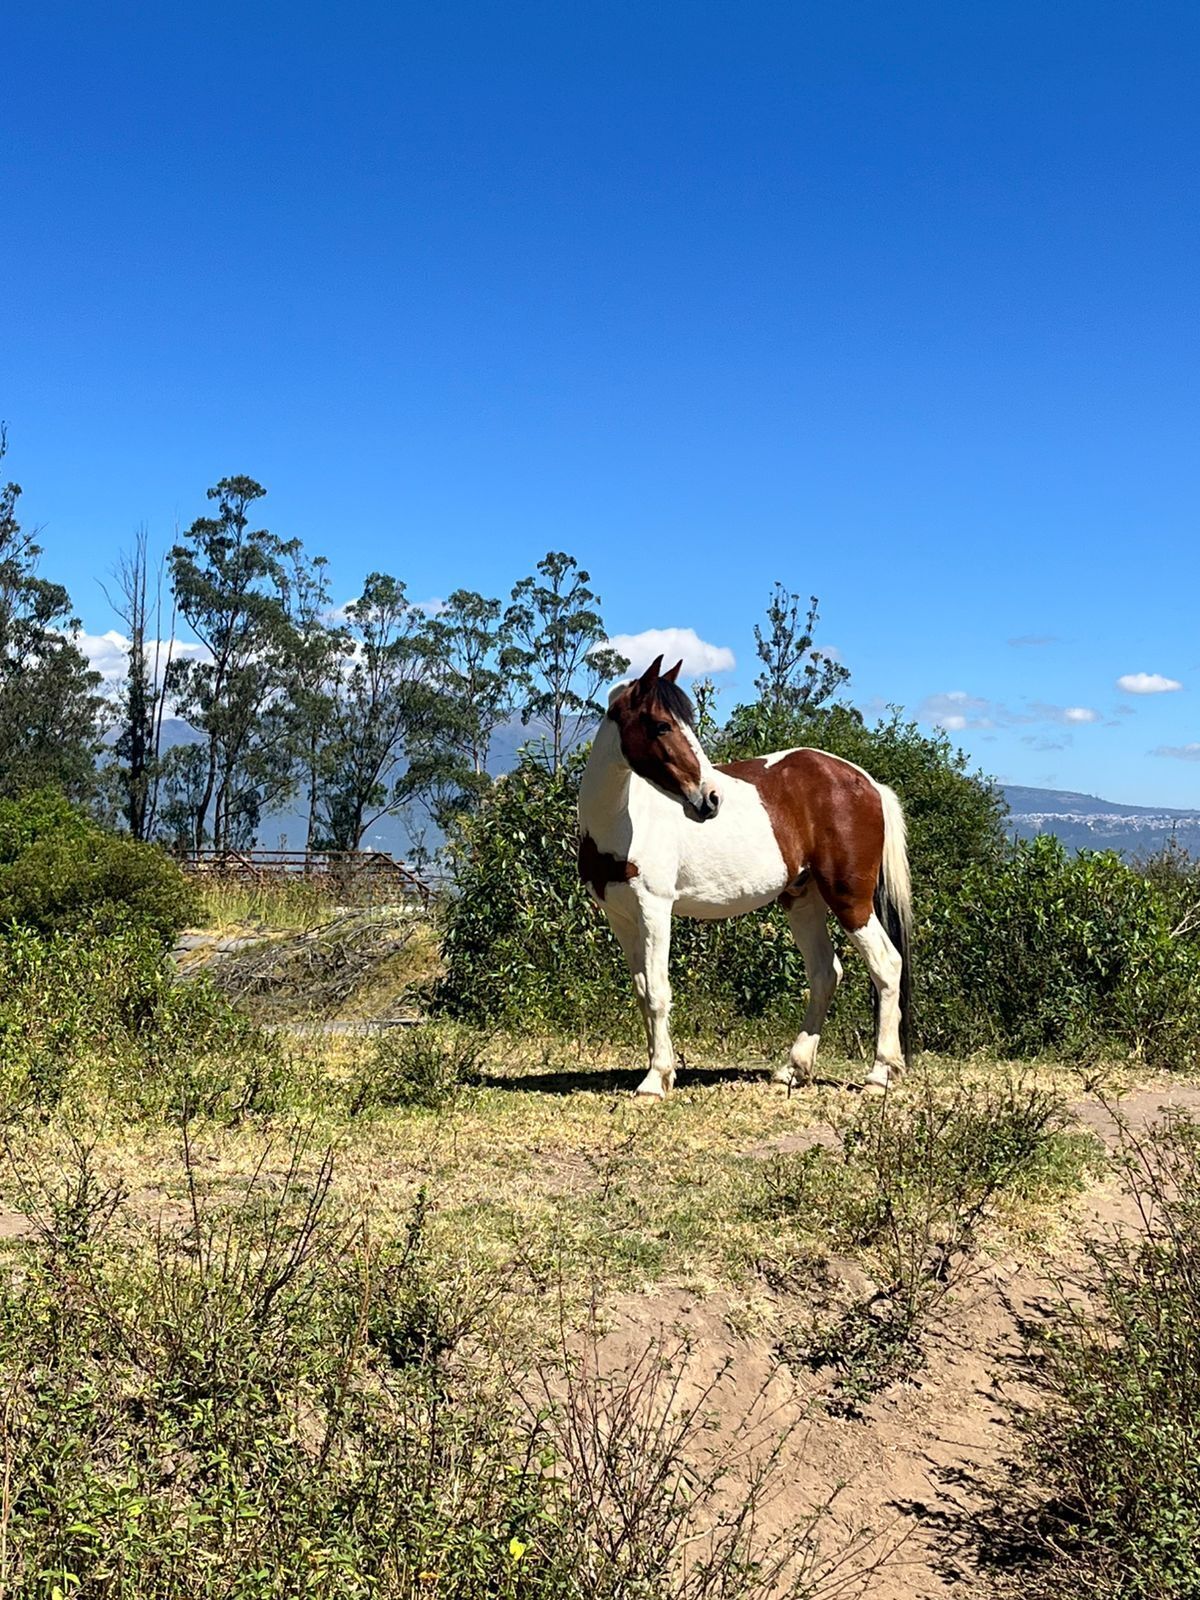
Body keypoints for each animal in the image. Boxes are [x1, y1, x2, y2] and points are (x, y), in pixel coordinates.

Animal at [577, 654, 913, 1099]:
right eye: (662, 725)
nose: (711, 799)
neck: (625, 820)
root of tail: (869, 783)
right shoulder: (621, 917)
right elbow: (643, 991)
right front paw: (661, 1072)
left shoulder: (655, 910)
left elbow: (659, 992)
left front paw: (654, 1080)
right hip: (802, 899)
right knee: (826, 973)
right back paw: (793, 1069)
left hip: (849, 899)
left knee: (887, 965)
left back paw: (879, 1074)